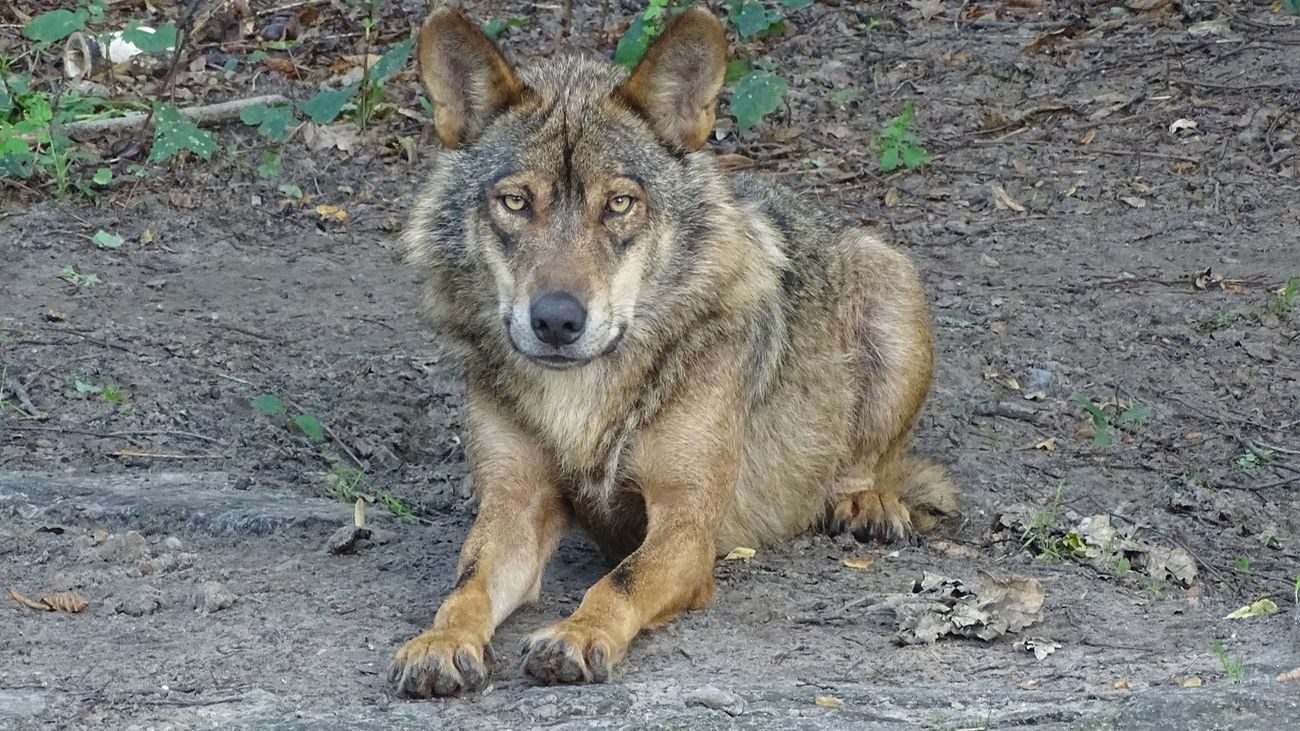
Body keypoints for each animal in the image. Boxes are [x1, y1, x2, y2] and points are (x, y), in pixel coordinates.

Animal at [390, 5, 956, 697]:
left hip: (891, 283)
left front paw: (577, 634)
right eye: (516, 202)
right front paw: (440, 642)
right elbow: (466, 586)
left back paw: (864, 502)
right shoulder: (514, 507)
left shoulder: (686, 523)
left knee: (869, 461)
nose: (555, 320)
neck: (582, 399)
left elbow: (619, 582)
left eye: (620, 203)